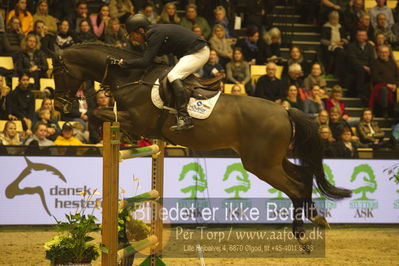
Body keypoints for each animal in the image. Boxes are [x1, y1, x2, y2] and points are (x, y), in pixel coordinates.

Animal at [51, 42, 352, 248]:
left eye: (59, 72)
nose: (59, 107)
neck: (130, 79)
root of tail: (285, 110)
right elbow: (101, 115)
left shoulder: (137, 120)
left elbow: (99, 114)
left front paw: (121, 135)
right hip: (271, 160)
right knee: (303, 176)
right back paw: (317, 218)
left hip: (261, 164)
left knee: (294, 187)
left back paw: (302, 236)